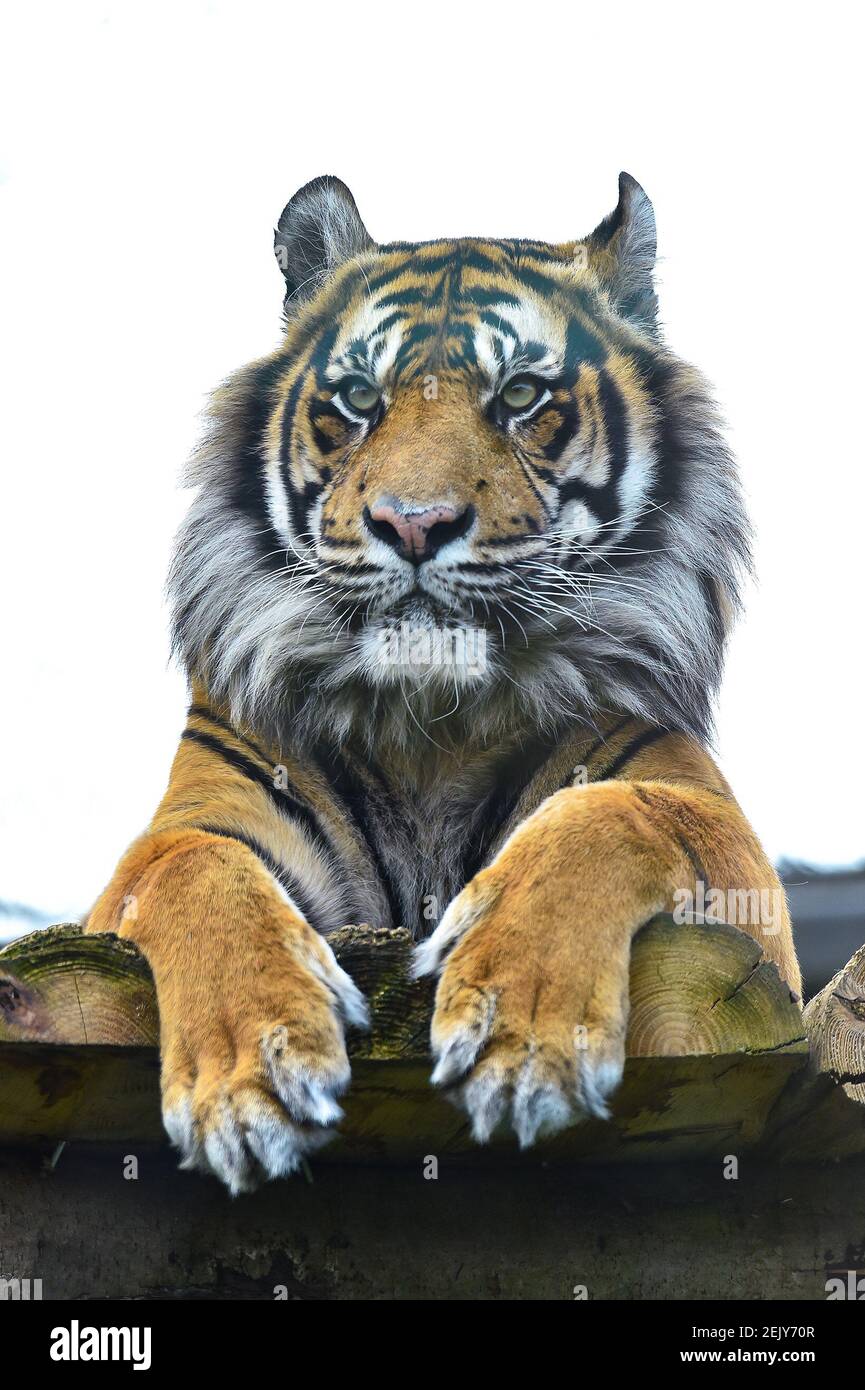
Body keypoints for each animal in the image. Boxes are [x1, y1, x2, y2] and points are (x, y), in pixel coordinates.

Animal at [87, 173, 801, 1193]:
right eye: (356, 398)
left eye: (521, 395)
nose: (413, 523)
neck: (433, 723)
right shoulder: (194, 826)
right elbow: (193, 869)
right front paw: (253, 1079)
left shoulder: (740, 889)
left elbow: (607, 811)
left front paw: (521, 1034)